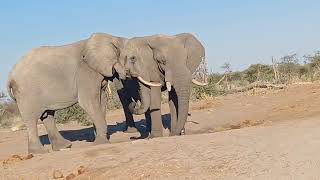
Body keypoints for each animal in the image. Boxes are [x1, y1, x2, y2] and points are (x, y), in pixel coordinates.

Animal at [7, 32, 161, 153]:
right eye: (133, 58)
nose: (134, 105)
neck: (112, 39)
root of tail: (10, 76)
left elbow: (101, 102)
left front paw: (100, 138)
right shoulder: (86, 72)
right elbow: (88, 102)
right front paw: (100, 143)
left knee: (47, 115)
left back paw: (64, 146)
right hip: (26, 93)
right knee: (32, 119)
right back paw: (40, 152)